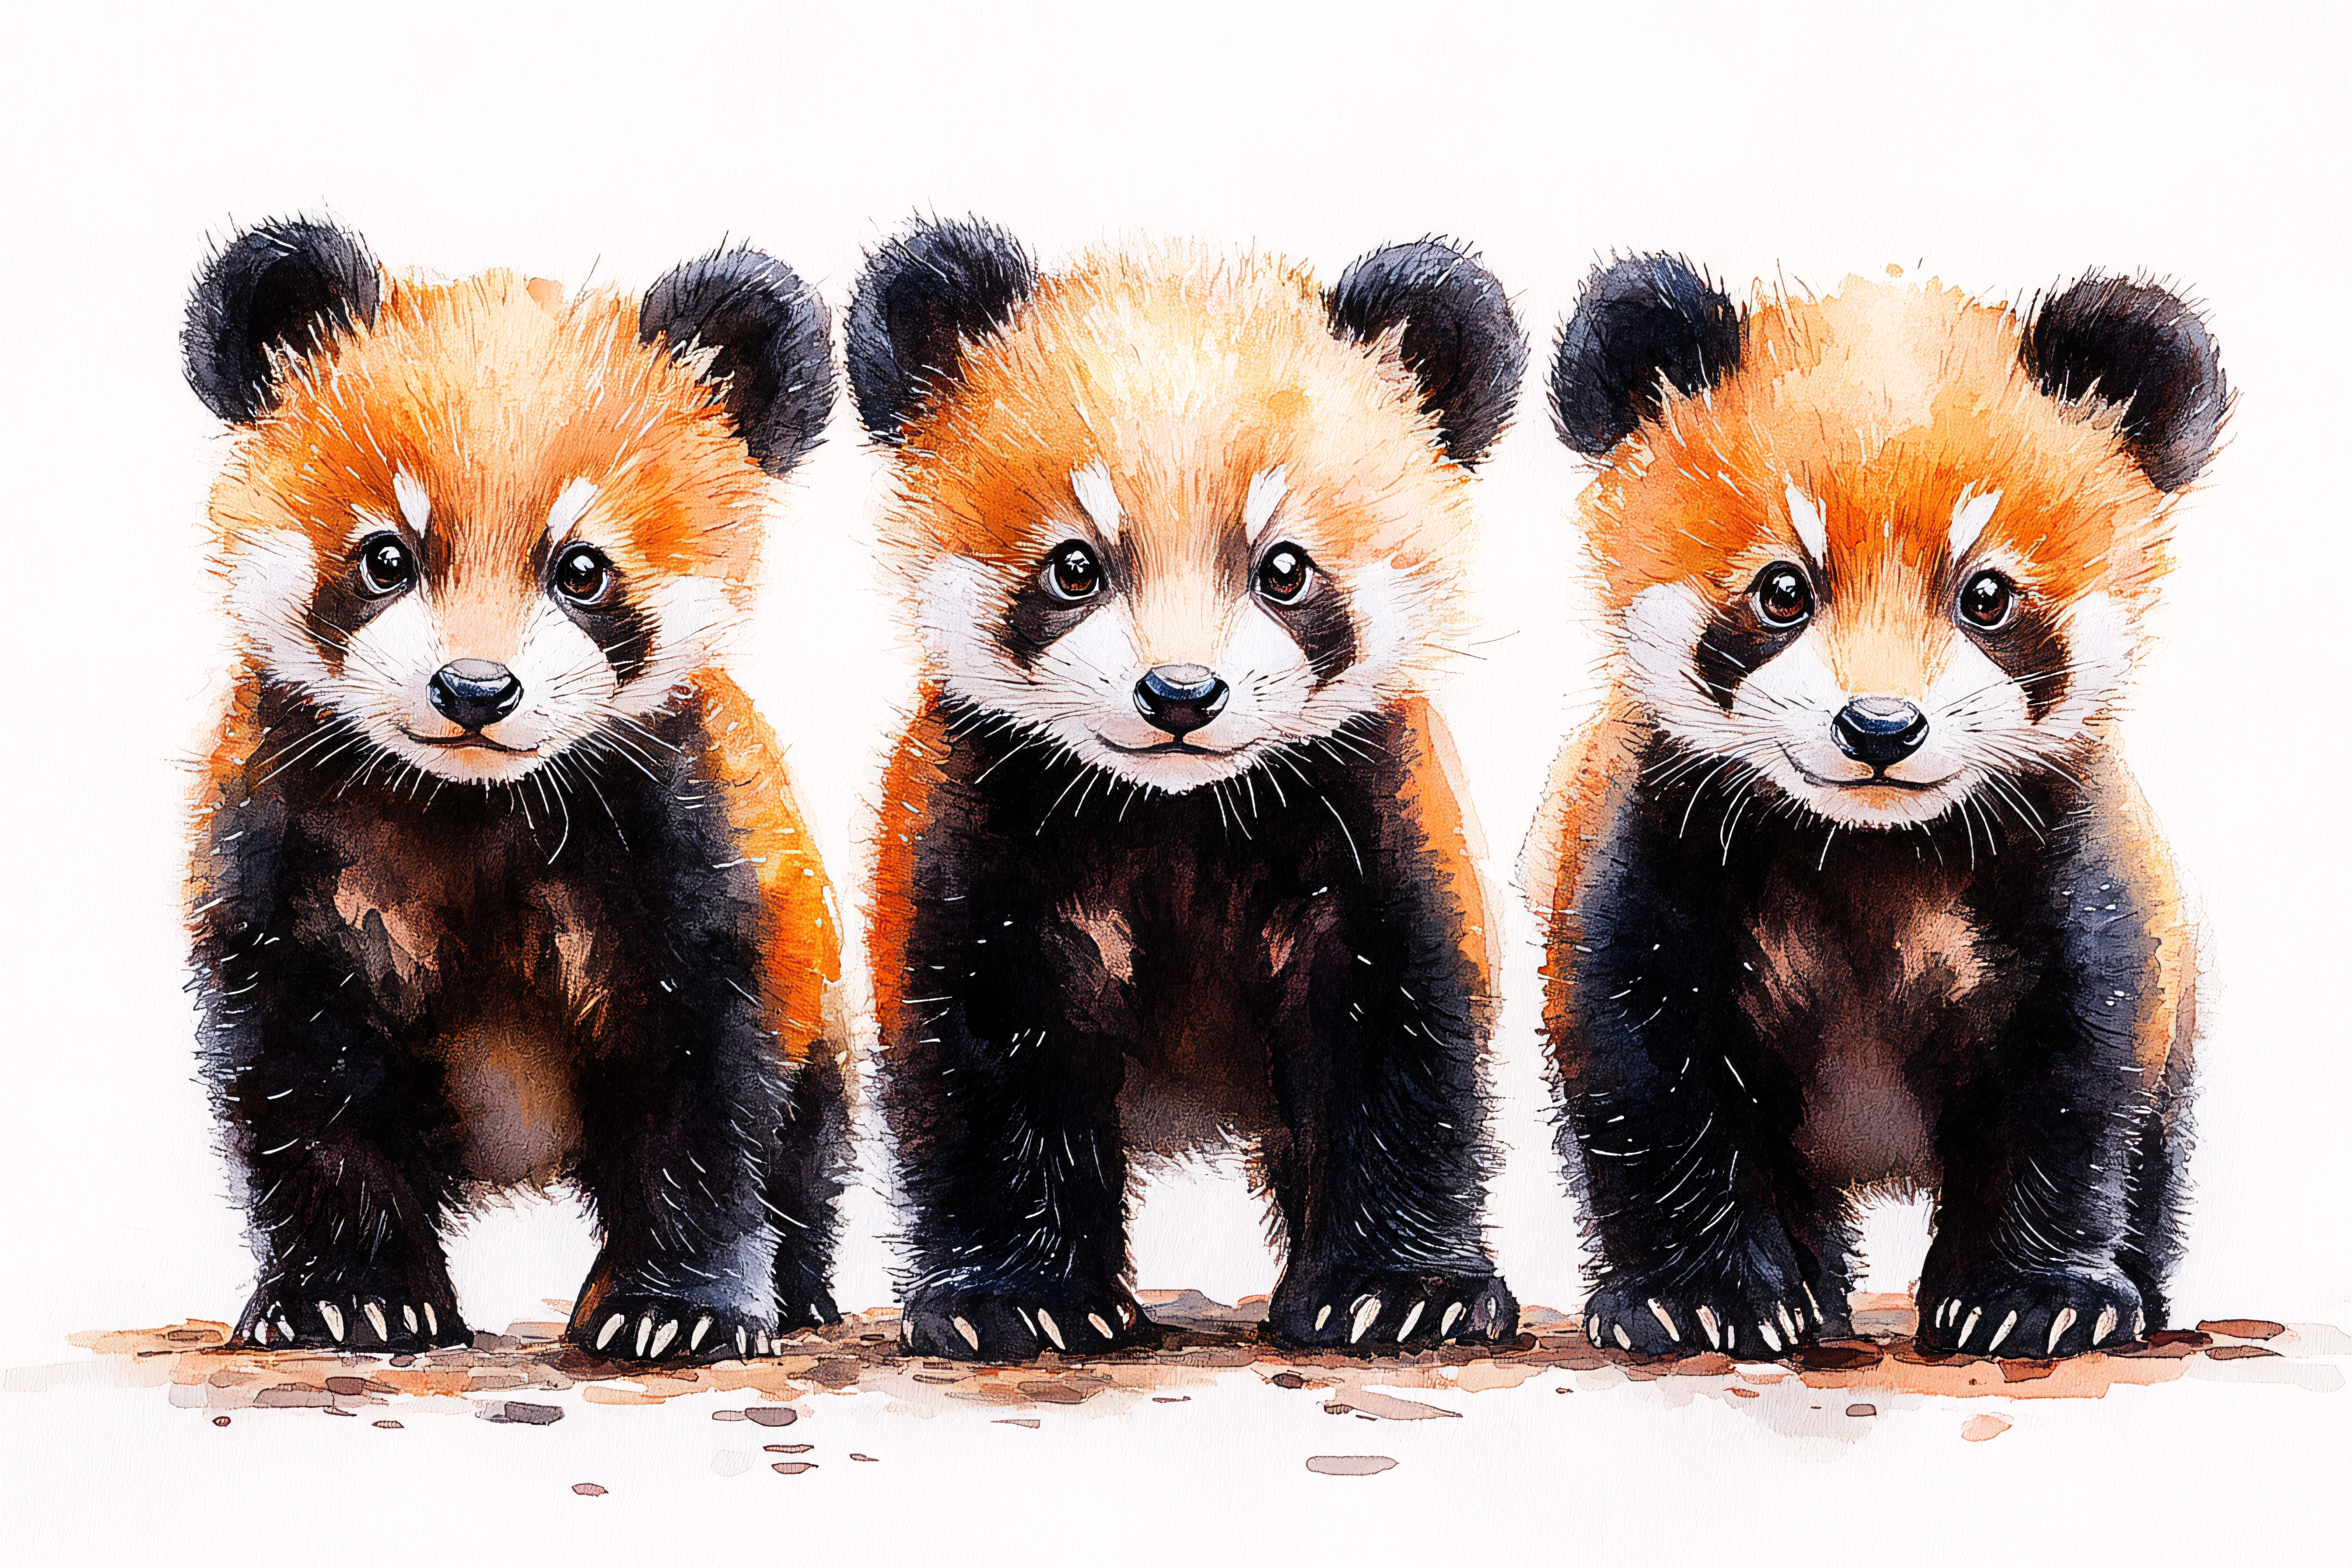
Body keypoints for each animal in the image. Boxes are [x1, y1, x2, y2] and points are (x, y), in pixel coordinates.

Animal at [183, 218, 850, 1362]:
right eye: (386, 558)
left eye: (581, 570)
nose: (475, 689)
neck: (473, 806)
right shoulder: (276, 861)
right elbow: (302, 1098)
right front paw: (346, 1295)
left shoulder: (699, 852)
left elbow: (709, 1106)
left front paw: (677, 1307)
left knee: (811, 1145)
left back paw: (799, 1288)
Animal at [849, 218, 1526, 1359]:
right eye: (1074, 567)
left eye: (1284, 570)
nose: (1179, 692)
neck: (1176, 812)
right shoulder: (969, 823)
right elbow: (984, 1063)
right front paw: (1016, 1298)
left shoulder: (1380, 807)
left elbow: (1397, 1046)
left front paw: (1399, 1289)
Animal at [1522, 257, 2223, 1359]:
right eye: (1781, 591)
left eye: (1987, 596)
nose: (1881, 726)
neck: (1869, 848)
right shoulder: (1639, 843)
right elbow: (1648, 1080)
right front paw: (1704, 1296)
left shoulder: (2085, 872)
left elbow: (2076, 1086)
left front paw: (2032, 1296)